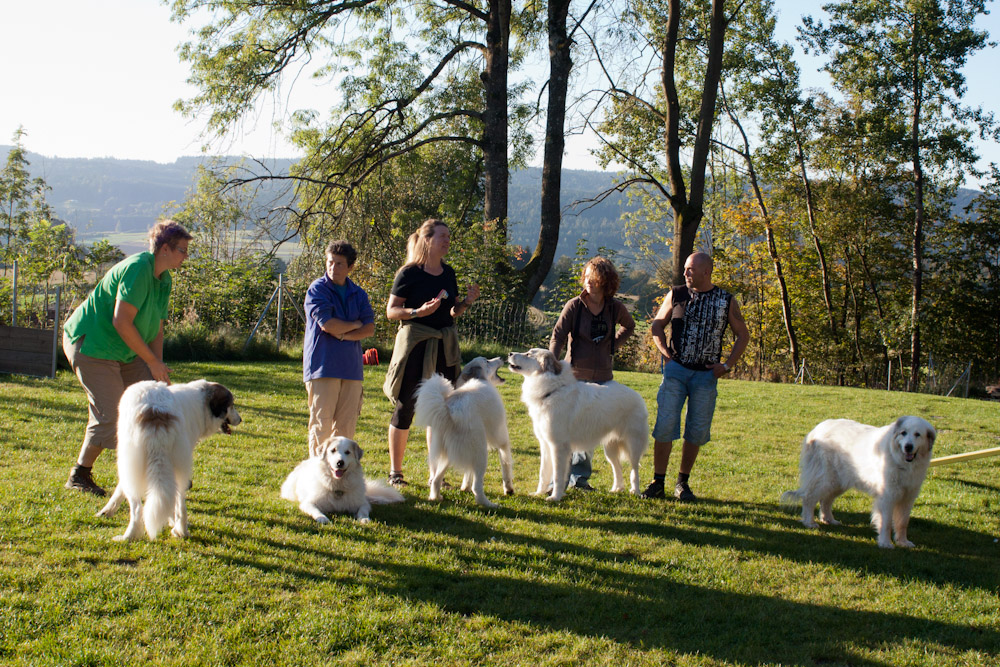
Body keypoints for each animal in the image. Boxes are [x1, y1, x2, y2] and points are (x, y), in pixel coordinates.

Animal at [95, 378, 242, 540]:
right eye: (231, 406)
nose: (240, 419)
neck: (201, 402)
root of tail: (156, 411)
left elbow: (120, 490)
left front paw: (106, 511)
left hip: (134, 460)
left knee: (138, 506)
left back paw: (131, 535)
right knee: (176, 501)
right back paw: (179, 531)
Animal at [416, 358, 520, 508]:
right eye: (487, 361)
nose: (501, 358)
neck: (480, 379)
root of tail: (448, 411)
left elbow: (467, 472)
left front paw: (465, 487)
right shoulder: (502, 438)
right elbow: (506, 464)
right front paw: (509, 489)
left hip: (448, 455)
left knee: (435, 480)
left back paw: (437, 497)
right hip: (481, 452)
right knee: (477, 488)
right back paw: (490, 504)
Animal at [508, 350, 648, 500]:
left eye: (528, 354)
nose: (510, 353)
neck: (552, 391)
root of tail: (638, 396)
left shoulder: (558, 447)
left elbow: (557, 476)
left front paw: (555, 497)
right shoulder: (545, 445)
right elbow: (543, 474)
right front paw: (539, 493)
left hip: (633, 446)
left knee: (634, 470)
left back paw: (636, 492)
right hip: (610, 448)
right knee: (618, 468)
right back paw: (616, 489)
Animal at [780, 418, 936, 548]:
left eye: (917, 434)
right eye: (903, 433)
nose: (908, 447)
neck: (900, 461)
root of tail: (816, 429)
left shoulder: (908, 497)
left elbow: (903, 522)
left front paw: (903, 542)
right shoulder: (887, 497)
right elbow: (885, 522)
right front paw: (885, 543)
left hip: (838, 482)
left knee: (825, 501)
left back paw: (829, 520)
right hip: (827, 478)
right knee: (809, 498)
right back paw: (809, 522)